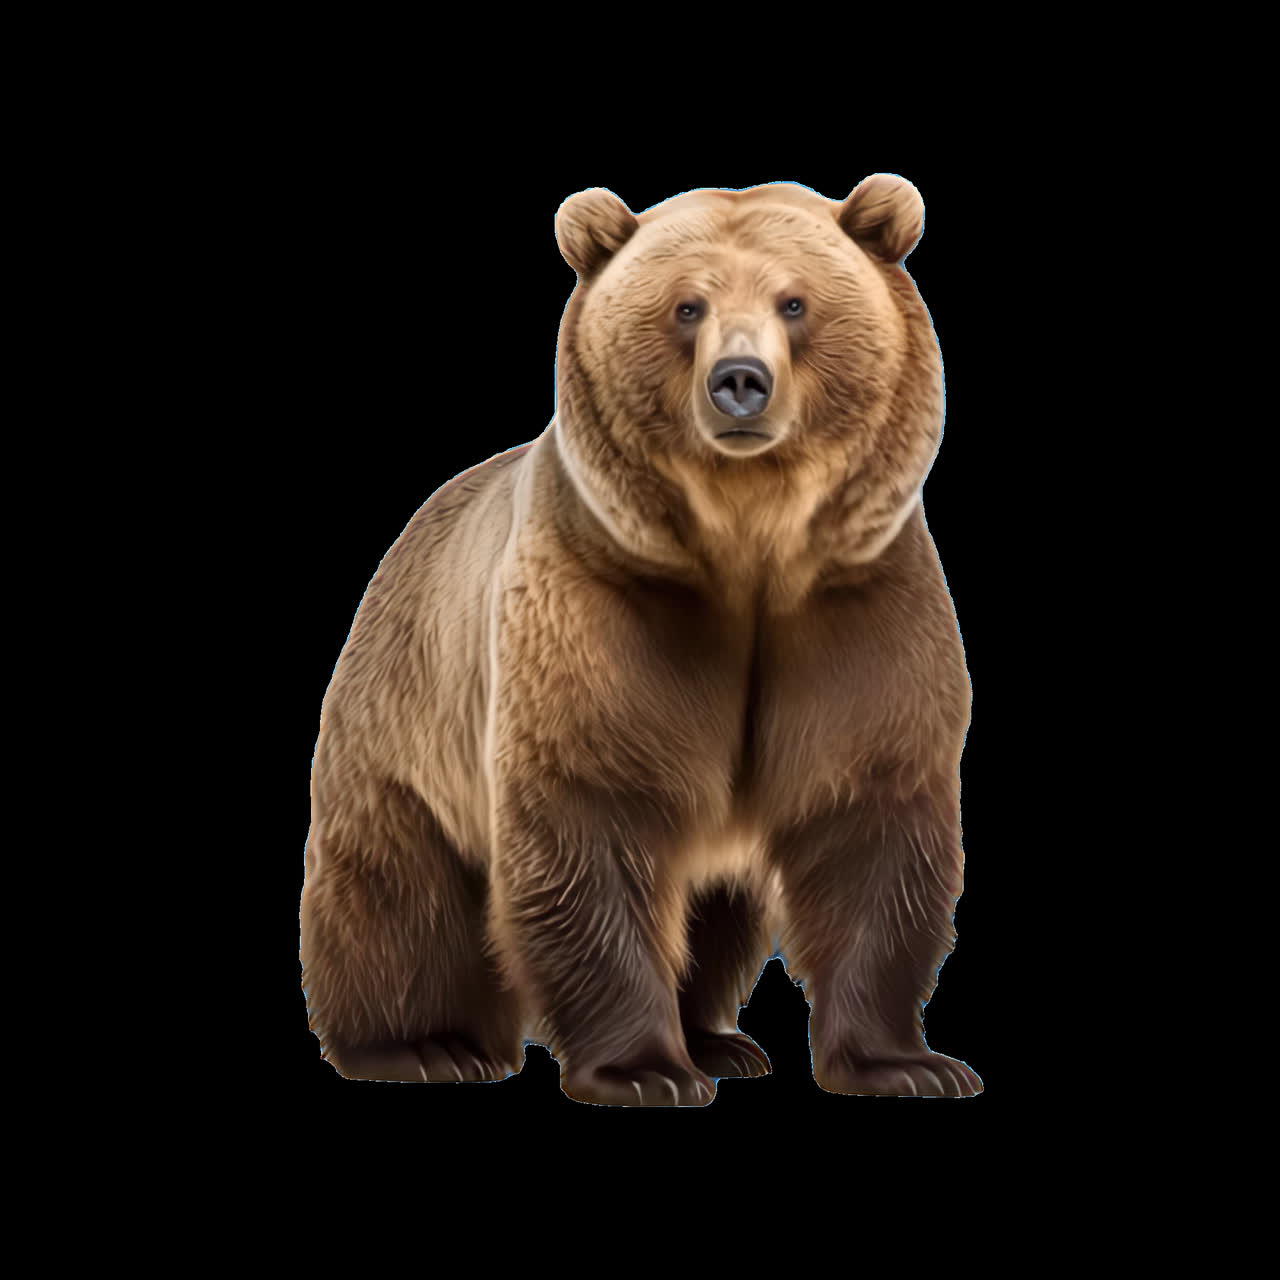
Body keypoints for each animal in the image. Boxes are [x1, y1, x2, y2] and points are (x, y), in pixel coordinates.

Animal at [301, 174, 981, 1105]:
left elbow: (868, 820)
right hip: (406, 725)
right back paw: (423, 1044)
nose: (741, 381)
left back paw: (719, 1040)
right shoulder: (606, 609)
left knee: (714, 906)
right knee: (399, 892)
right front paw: (643, 1069)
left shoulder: (857, 606)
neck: (749, 549)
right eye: (687, 305)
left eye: (795, 301)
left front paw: (906, 1062)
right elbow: (593, 813)